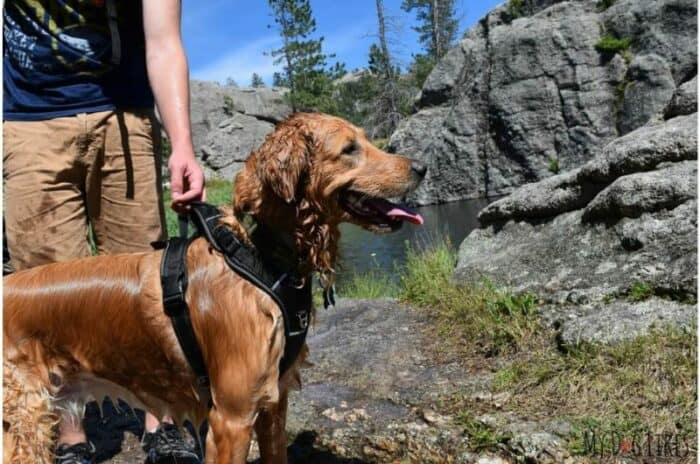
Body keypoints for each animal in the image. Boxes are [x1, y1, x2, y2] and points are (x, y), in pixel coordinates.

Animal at [4, 113, 426, 464]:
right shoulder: (231, 418)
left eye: (366, 140)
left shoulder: (273, 404)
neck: (264, 256)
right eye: (349, 149)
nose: (422, 166)